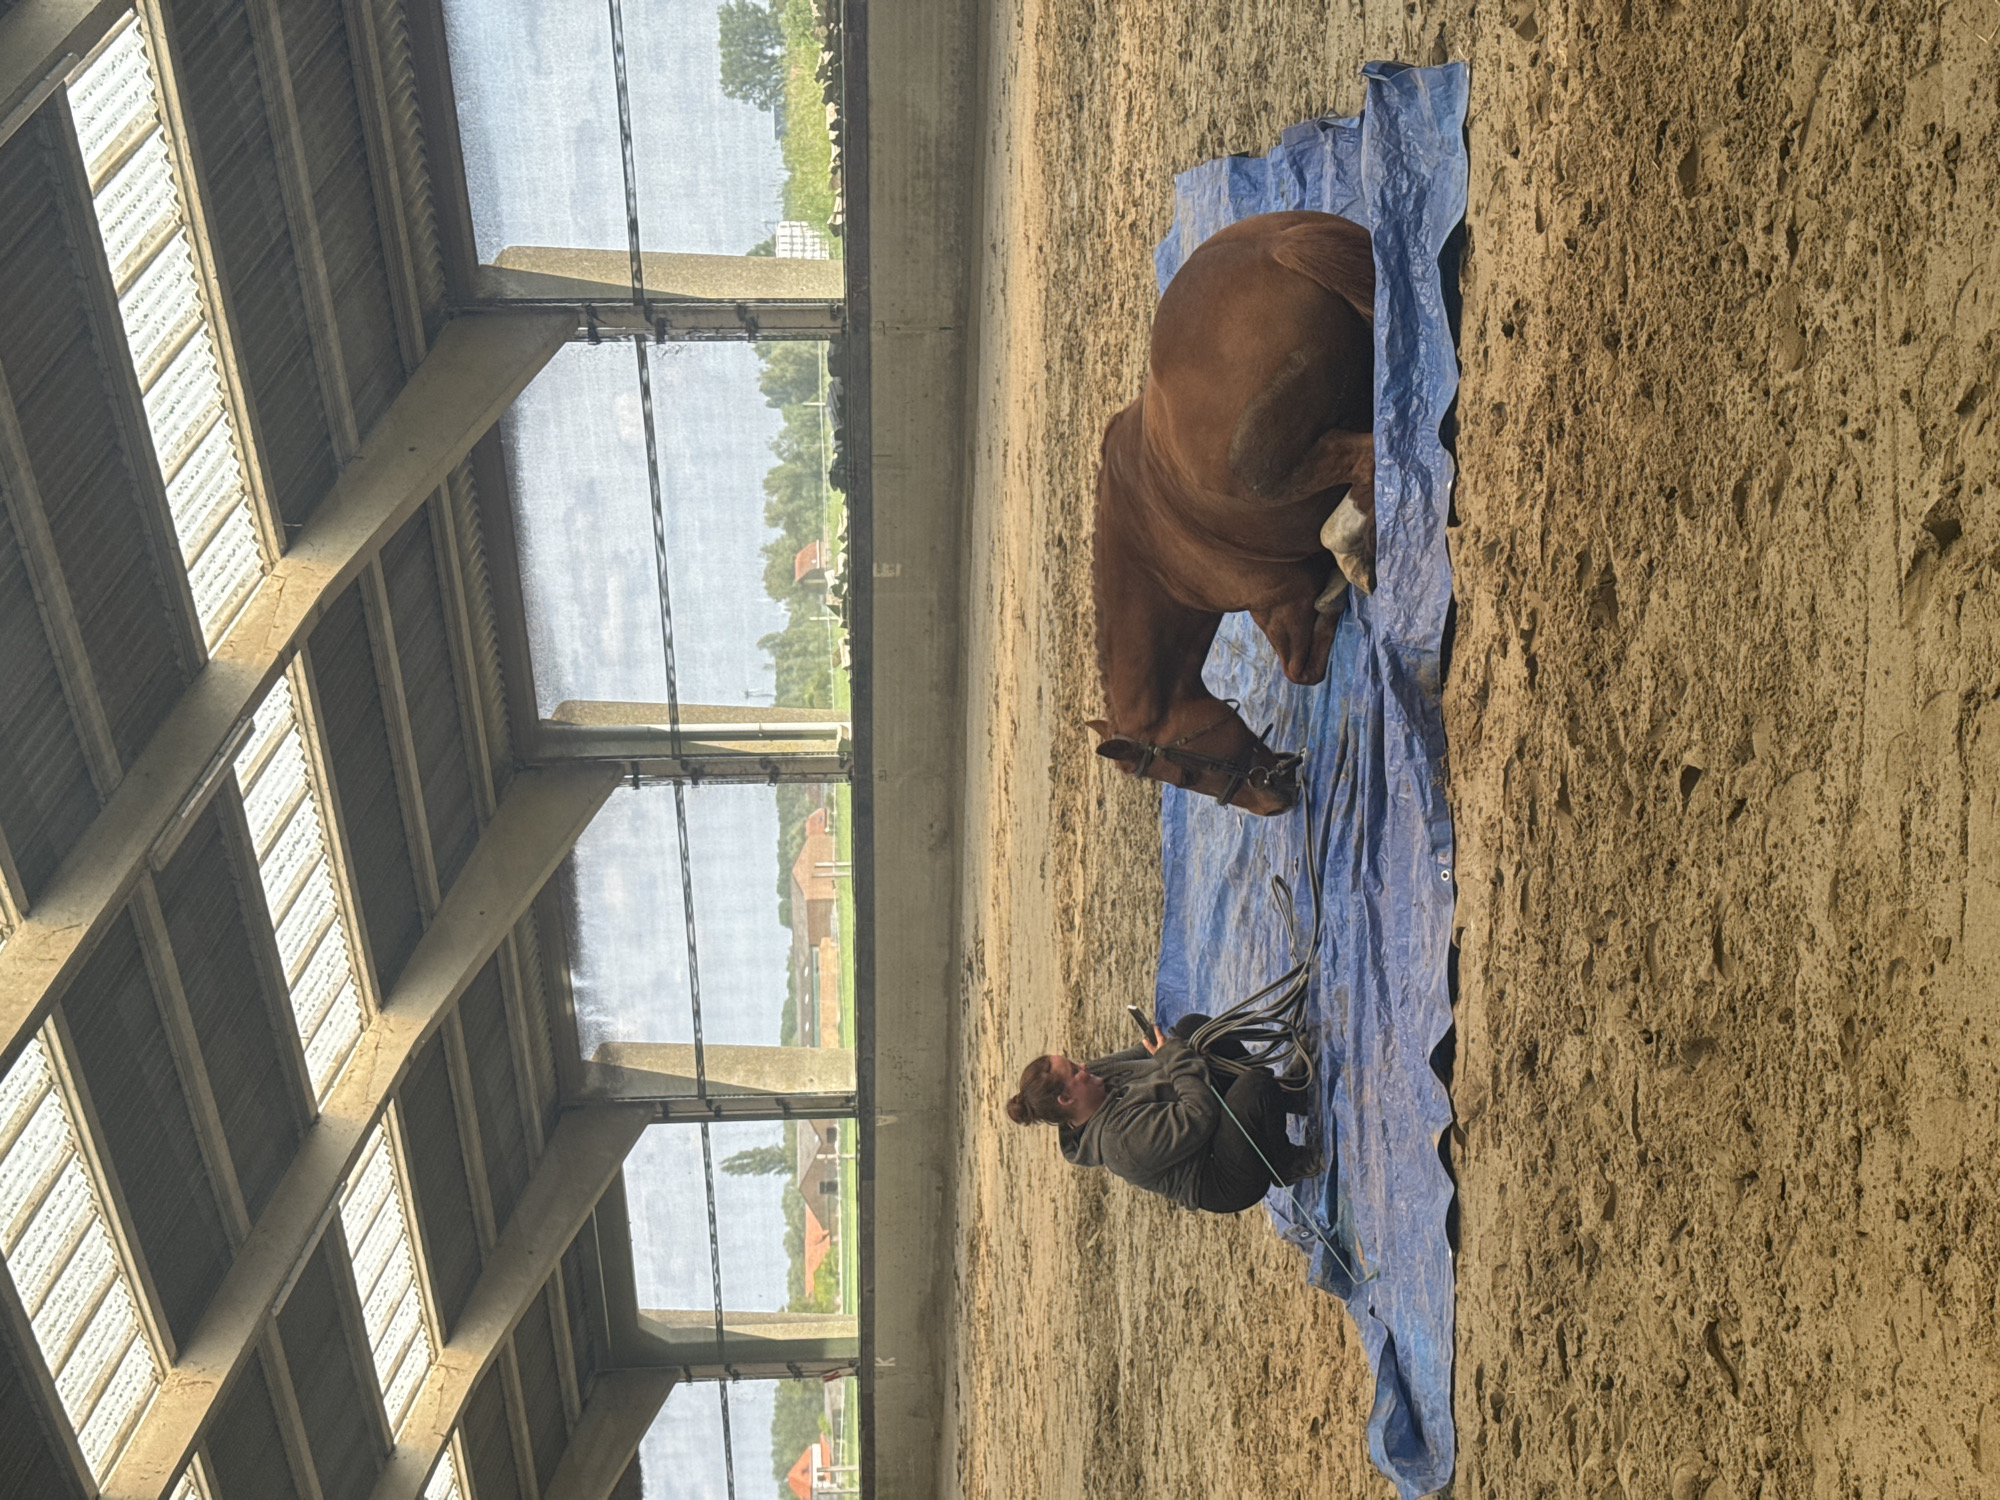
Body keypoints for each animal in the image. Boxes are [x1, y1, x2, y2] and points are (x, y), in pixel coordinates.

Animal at [1087, 210, 1377, 816]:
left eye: (1182, 771)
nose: (1275, 800)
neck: (1155, 553)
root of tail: (1275, 248)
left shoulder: (1277, 602)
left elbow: (1302, 669)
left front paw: (1334, 598)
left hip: (1280, 471)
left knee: (1361, 468)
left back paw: (1351, 546)